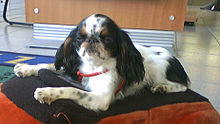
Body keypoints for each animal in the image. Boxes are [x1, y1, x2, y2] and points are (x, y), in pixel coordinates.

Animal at [13, 14, 190, 111]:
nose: (92, 39)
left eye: (108, 39)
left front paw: (48, 92)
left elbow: (72, 90)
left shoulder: (101, 98)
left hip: (157, 67)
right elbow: (47, 65)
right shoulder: (74, 69)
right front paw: (25, 68)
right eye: (79, 38)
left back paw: (162, 88)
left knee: (183, 86)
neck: (92, 67)